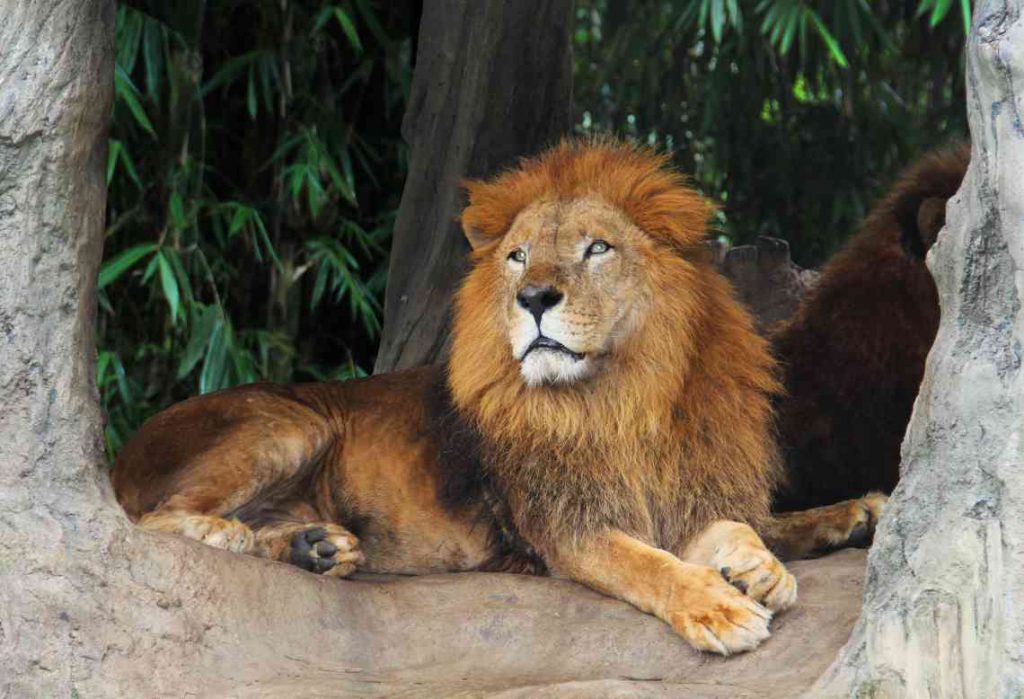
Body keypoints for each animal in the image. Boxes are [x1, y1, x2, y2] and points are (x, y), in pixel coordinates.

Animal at [112, 140, 881, 656]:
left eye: (597, 249)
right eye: (517, 256)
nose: (534, 296)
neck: (624, 400)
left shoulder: (689, 491)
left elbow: (749, 525)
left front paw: (767, 563)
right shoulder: (567, 528)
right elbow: (649, 565)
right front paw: (718, 608)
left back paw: (314, 546)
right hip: (288, 422)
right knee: (151, 516)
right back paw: (233, 533)